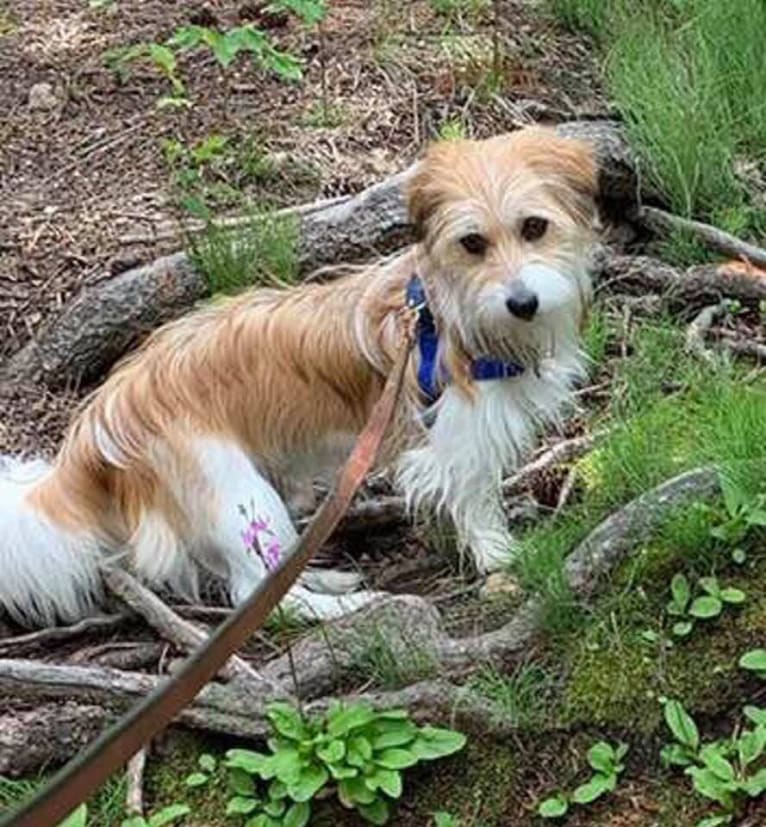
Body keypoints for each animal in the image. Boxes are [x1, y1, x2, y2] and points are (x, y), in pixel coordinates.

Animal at [0, 126, 600, 624]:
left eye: (534, 228)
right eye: (472, 243)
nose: (522, 301)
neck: (447, 312)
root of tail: (102, 414)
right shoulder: (456, 442)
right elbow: (477, 500)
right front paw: (502, 556)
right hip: (235, 493)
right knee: (253, 593)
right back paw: (343, 607)